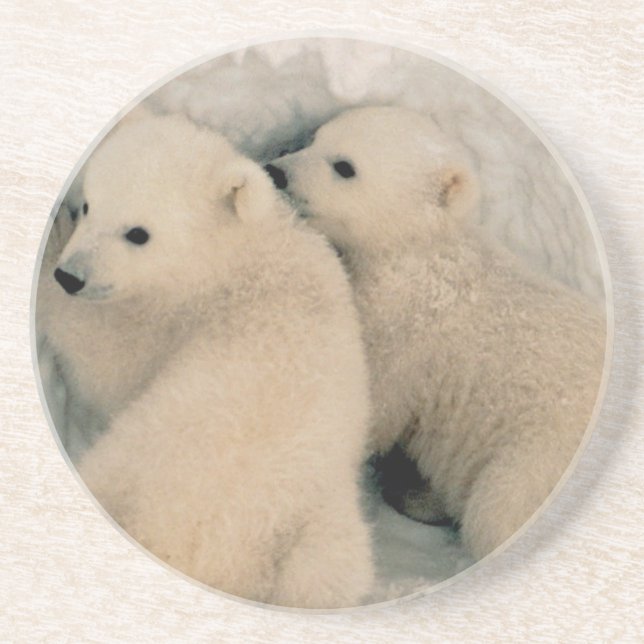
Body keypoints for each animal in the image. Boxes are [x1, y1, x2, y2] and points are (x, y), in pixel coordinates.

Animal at [45, 113, 375, 608]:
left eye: (138, 234)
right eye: (88, 205)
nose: (70, 276)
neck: (240, 255)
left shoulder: (169, 321)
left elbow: (106, 362)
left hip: (133, 462)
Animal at [265, 105, 607, 560]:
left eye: (345, 166)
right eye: (315, 138)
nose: (276, 171)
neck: (421, 252)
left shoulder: (405, 331)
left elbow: (371, 405)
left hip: (536, 456)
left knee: (497, 507)